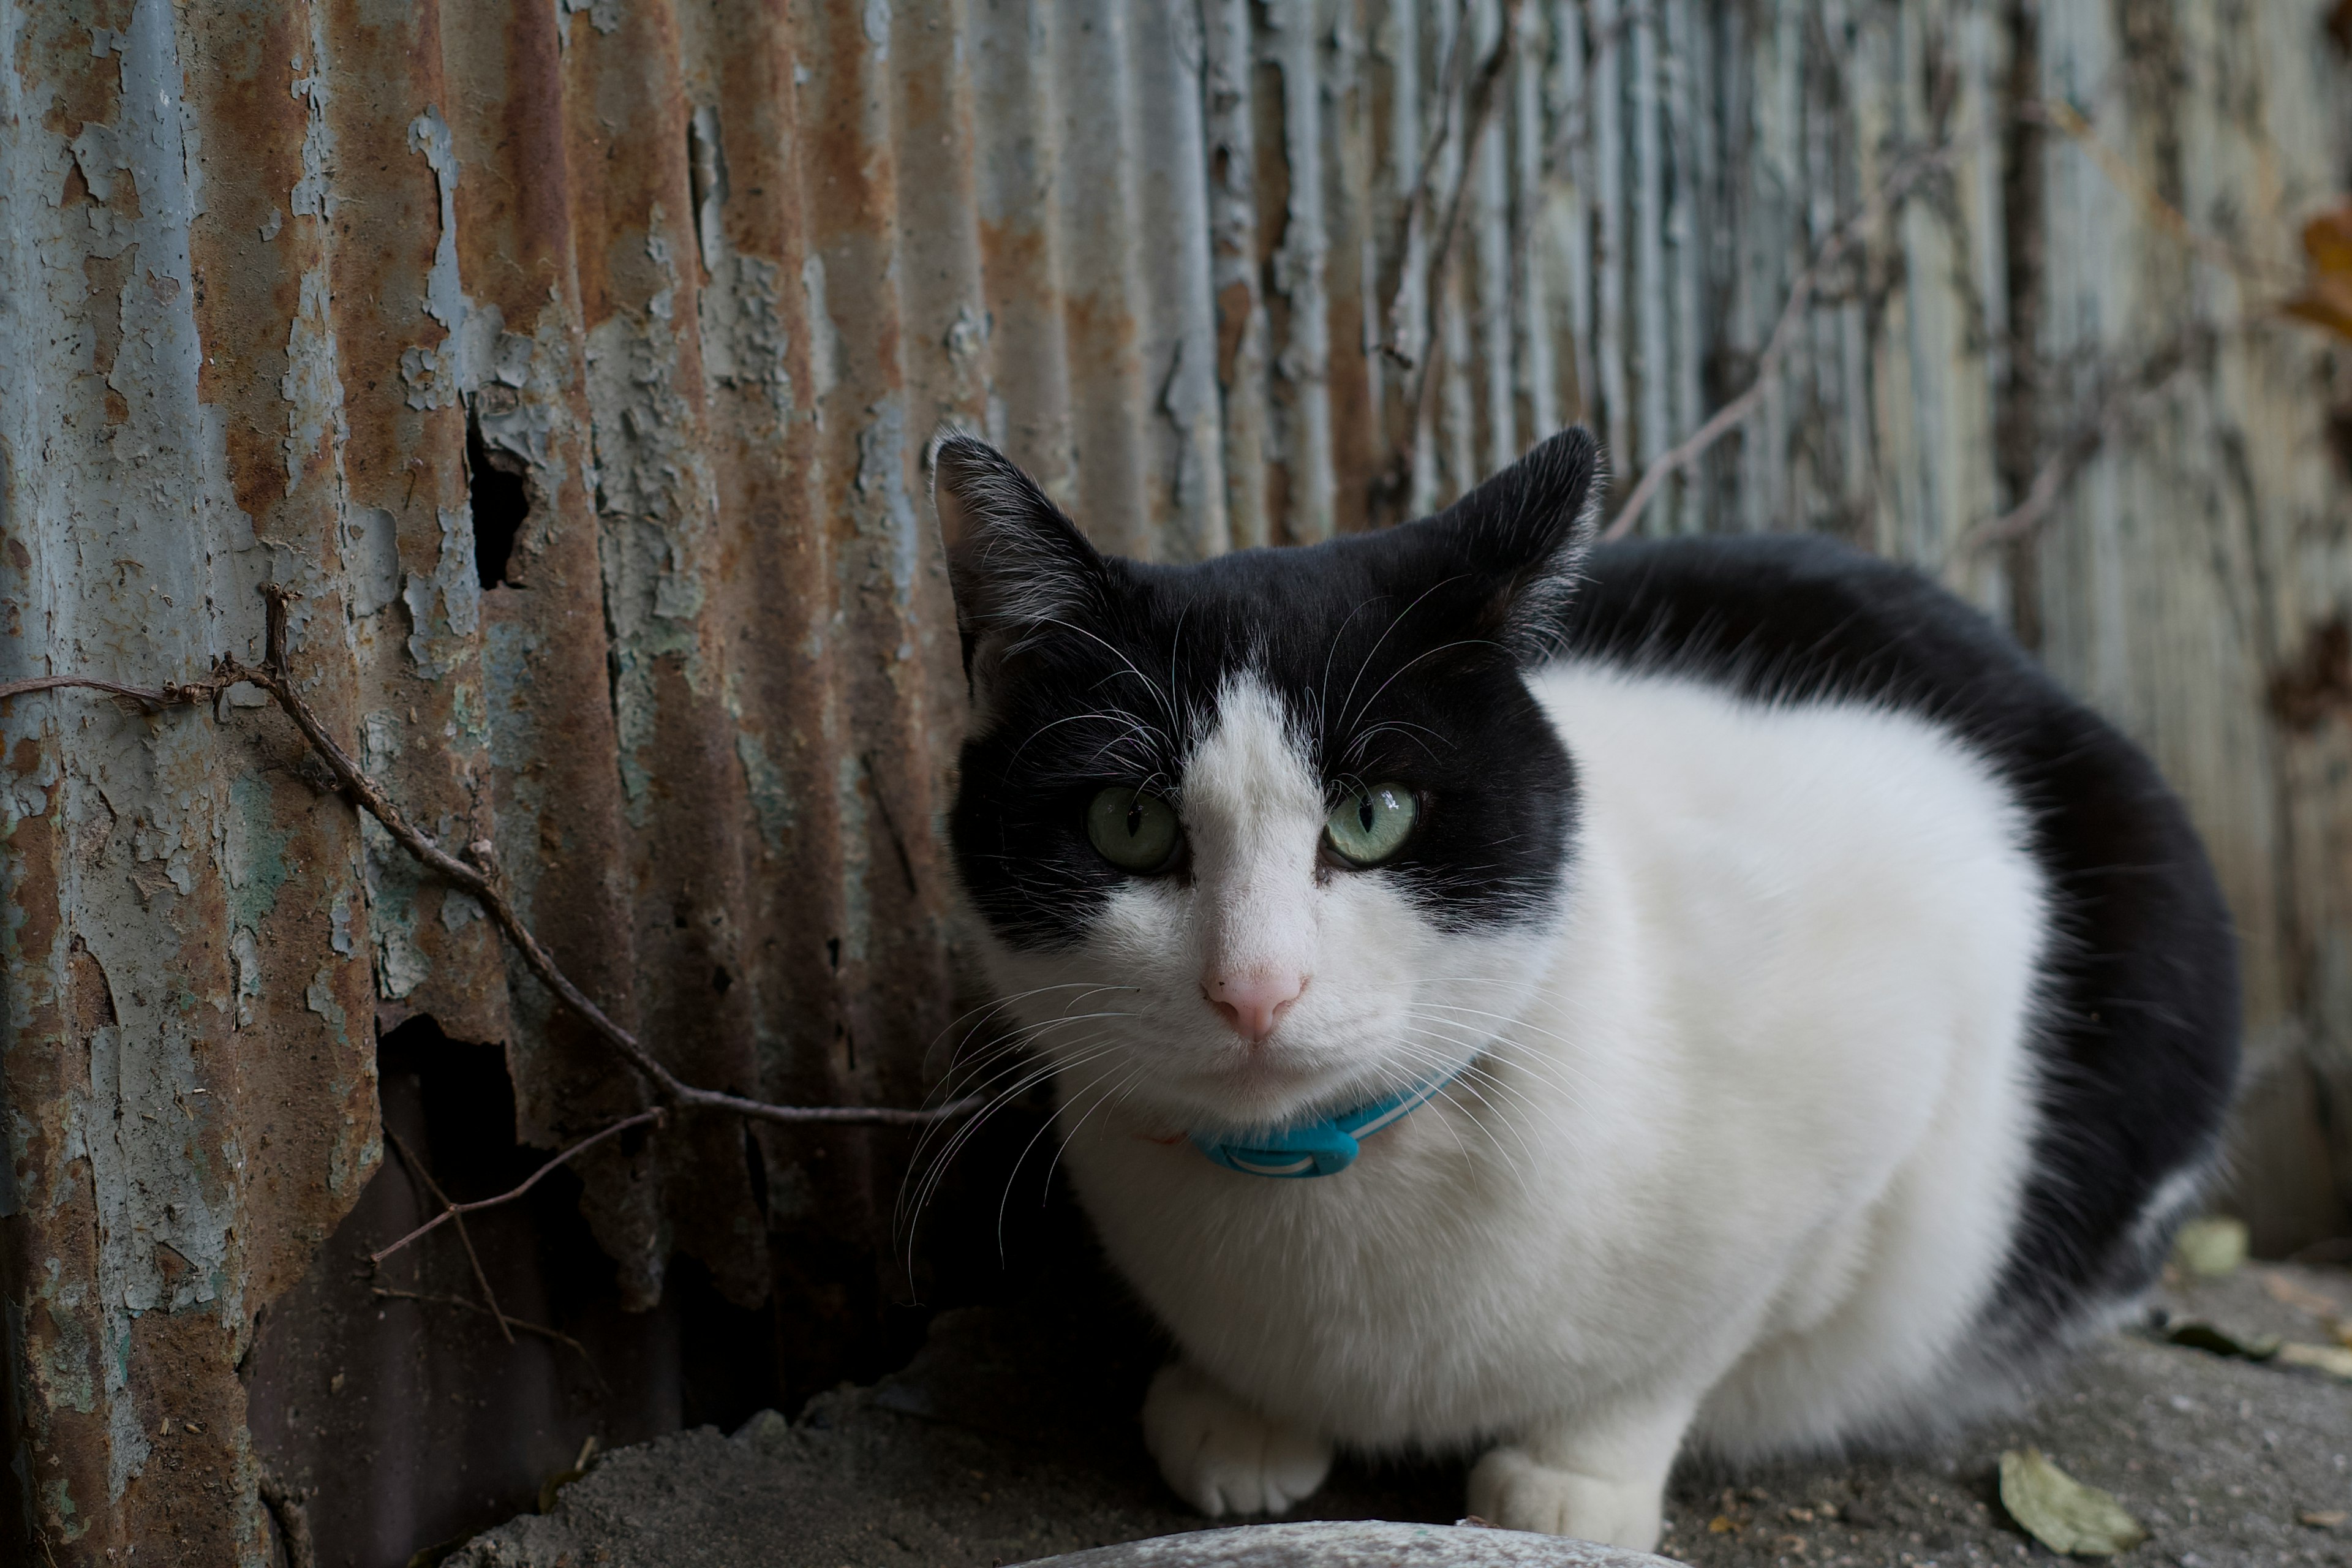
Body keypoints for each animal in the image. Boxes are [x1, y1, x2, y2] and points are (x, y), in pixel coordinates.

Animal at [926, 423, 2230, 1551]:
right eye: (1129, 825)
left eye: (1373, 816)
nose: (1256, 987)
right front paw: (1236, 1411)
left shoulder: (1916, 998)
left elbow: (1699, 1341)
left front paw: (1572, 1483)